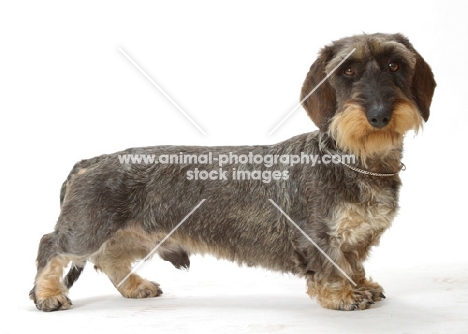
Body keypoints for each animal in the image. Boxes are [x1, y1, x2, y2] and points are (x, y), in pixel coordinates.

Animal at [30, 33, 436, 310]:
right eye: (348, 70)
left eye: (395, 65)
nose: (379, 115)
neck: (356, 159)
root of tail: (91, 161)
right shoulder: (319, 236)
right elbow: (333, 266)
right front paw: (342, 295)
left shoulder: (355, 239)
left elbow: (353, 263)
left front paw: (361, 285)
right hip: (87, 228)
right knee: (52, 246)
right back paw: (48, 294)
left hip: (133, 233)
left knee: (111, 259)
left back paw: (134, 286)